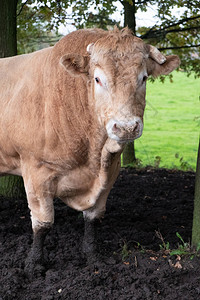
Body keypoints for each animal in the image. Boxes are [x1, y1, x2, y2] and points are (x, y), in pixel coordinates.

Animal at [0, 26, 180, 276]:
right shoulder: (36, 171)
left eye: (144, 78)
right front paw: (34, 264)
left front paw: (92, 257)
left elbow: (93, 218)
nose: (126, 127)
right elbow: (43, 223)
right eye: (97, 79)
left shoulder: (110, 170)